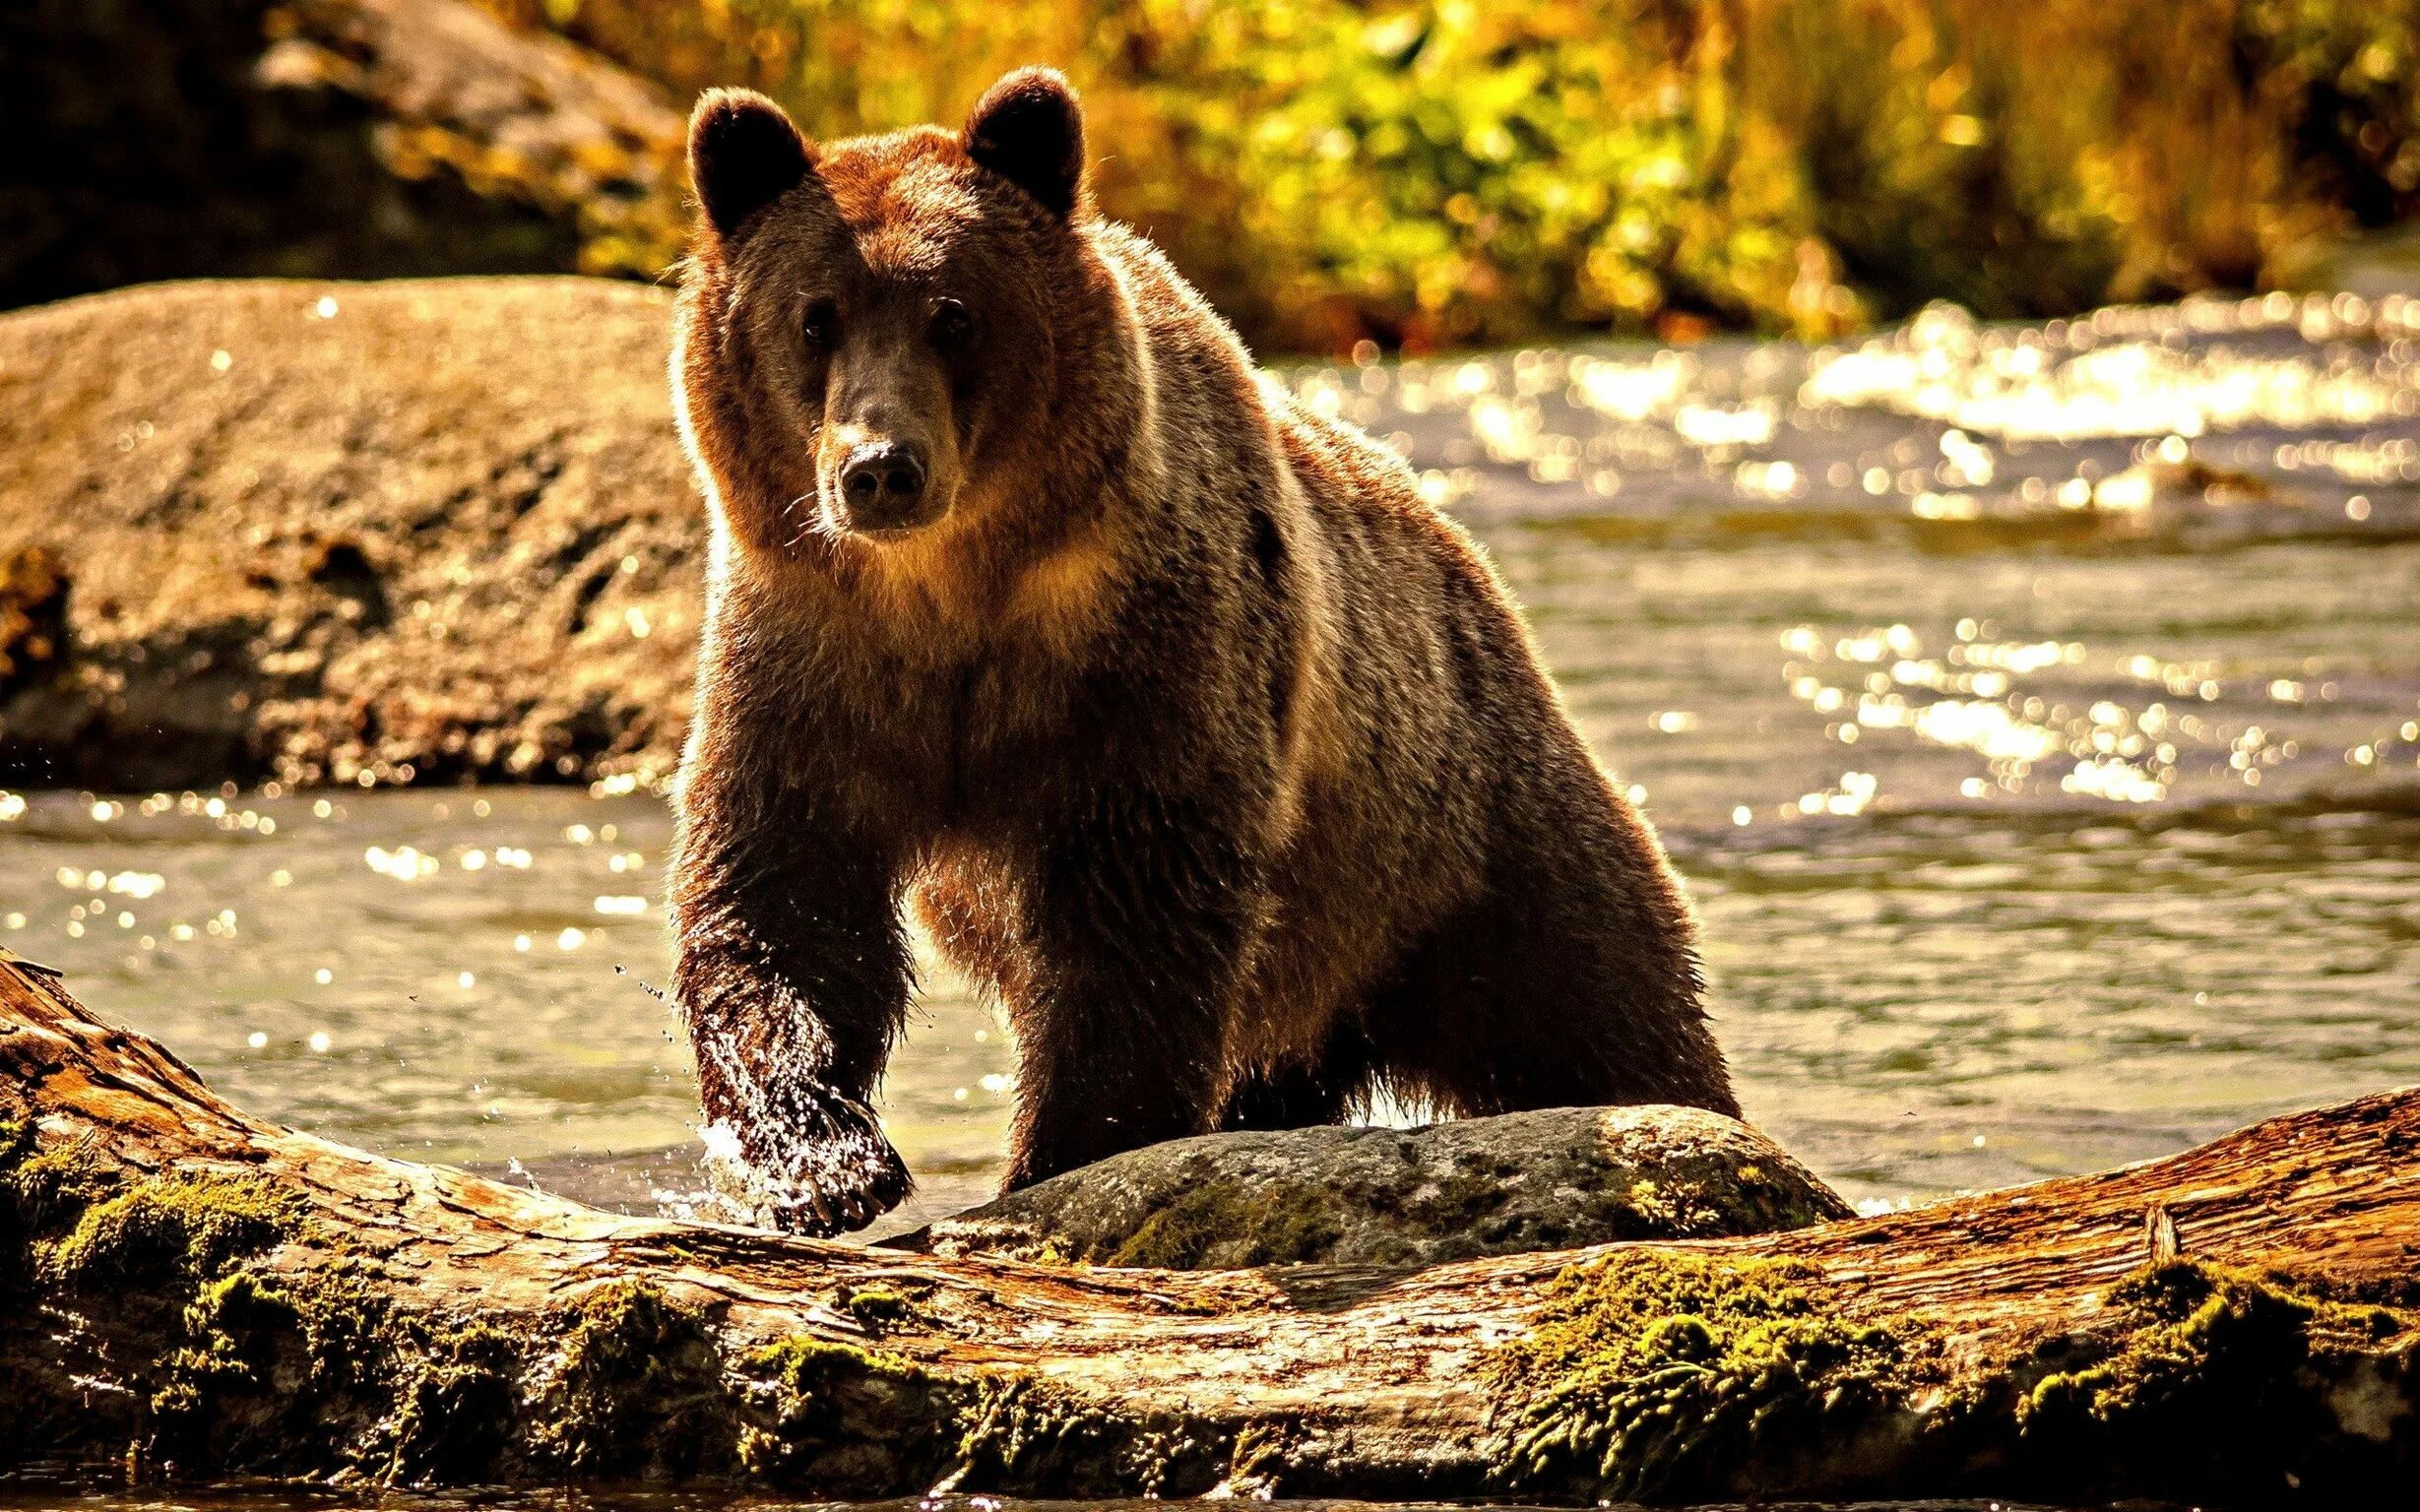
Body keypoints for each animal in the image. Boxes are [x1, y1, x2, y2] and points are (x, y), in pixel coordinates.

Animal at [663, 64, 1732, 1233]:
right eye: (814, 318)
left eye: (952, 313)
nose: (880, 468)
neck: (950, 596)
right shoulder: (811, 656)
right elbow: (784, 892)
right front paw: (821, 1159)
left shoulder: (1149, 657)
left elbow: (1137, 911)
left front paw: (1064, 1152)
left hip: (1462, 837)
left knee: (1599, 1003)